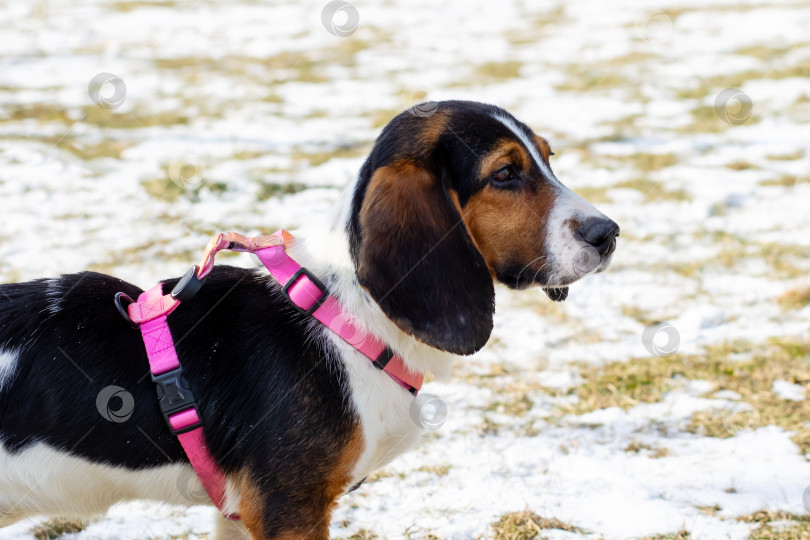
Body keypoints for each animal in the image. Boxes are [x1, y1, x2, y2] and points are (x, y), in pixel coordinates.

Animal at [1, 102, 620, 540]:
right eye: (506, 174)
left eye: (548, 158)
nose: (608, 233)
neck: (347, 315)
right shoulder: (289, 511)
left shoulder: (238, 515)